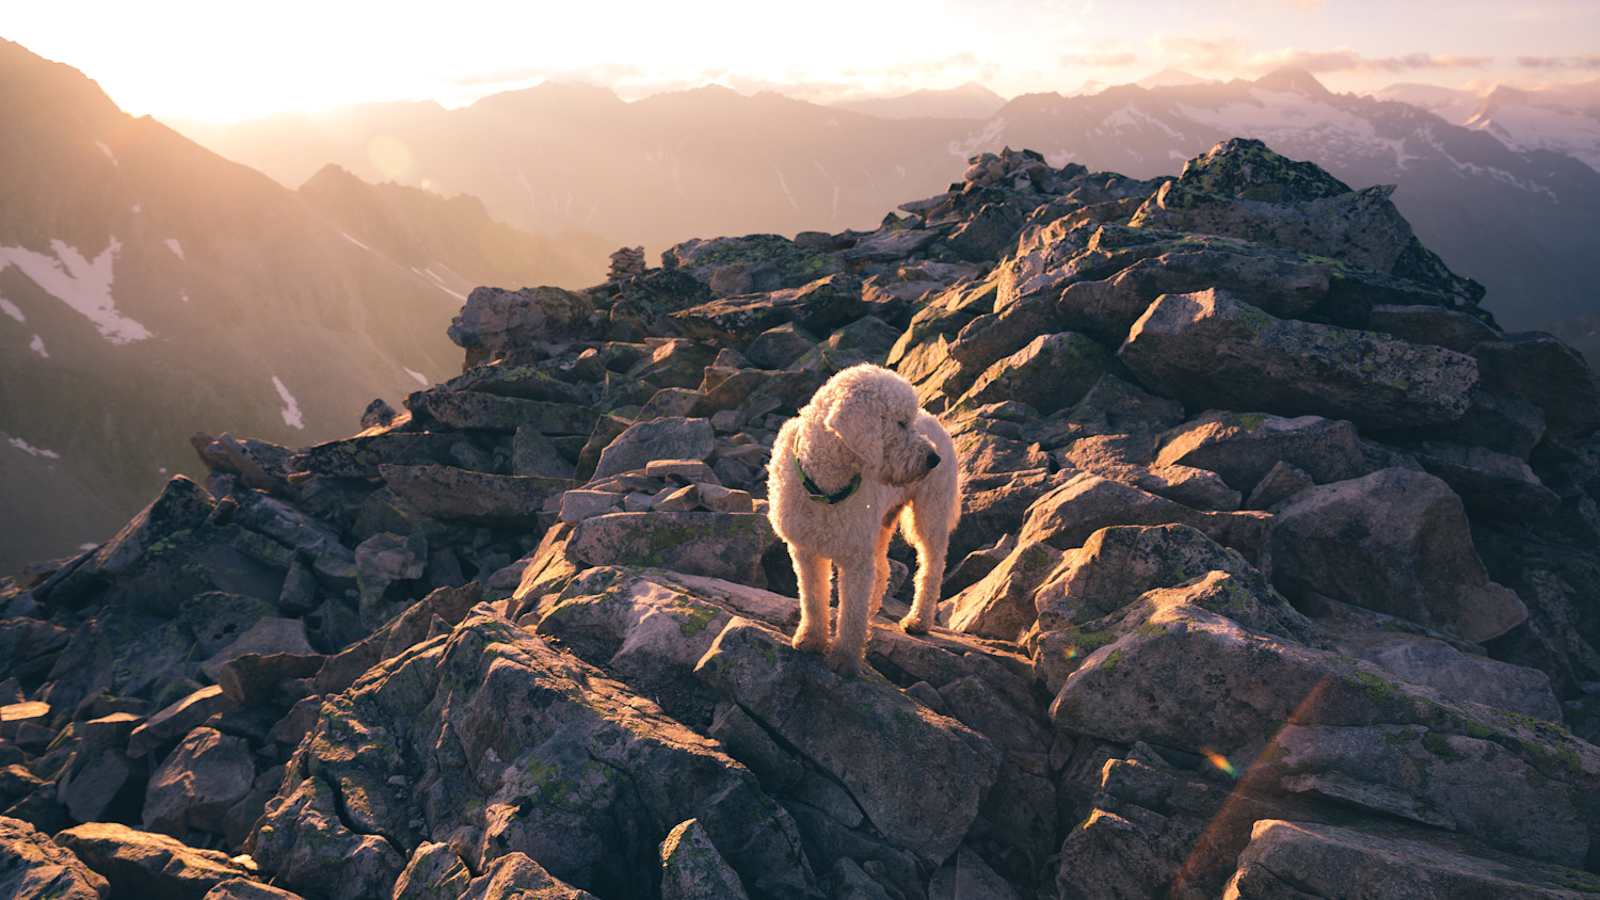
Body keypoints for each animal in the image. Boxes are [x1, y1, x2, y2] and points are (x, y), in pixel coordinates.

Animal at [764, 360, 953, 669]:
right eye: (901, 422)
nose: (933, 459)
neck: (827, 486)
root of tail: (938, 422)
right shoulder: (805, 549)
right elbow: (813, 597)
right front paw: (811, 640)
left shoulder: (855, 556)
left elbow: (851, 611)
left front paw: (845, 658)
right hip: (879, 524)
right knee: (883, 569)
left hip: (931, 511)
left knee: (932, 565)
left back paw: (918, 620)